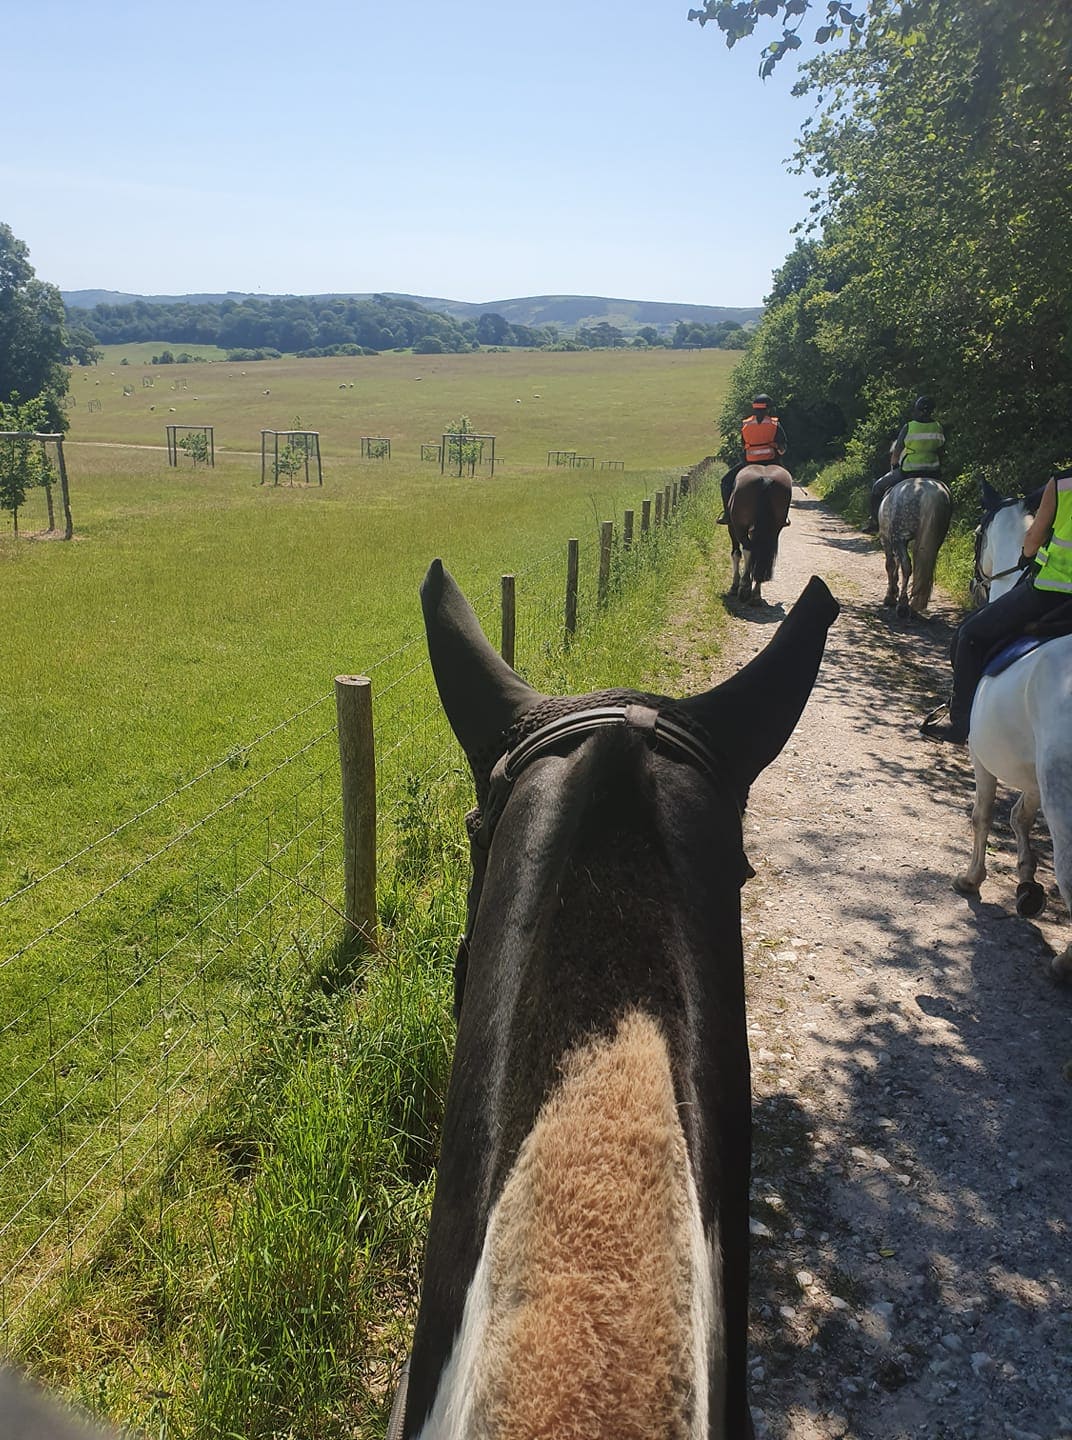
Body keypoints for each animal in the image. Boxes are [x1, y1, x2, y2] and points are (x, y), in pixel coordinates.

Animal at [723, 457, 789, 599]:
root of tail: (766, 479)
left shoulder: (732, 527)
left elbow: (736, 553)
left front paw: (735, 585)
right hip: (774, 529)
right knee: (762, 551)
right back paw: (756, 593)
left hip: (740, 526)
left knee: (748, 549)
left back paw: (744, 586)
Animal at [881, 472, 956, 619]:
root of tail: (930, 492)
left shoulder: (887, 540)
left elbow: (891, 565)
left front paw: (890, 596)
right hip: (935, 541)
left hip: (899, 537)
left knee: (906, 566)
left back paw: (903, 606)